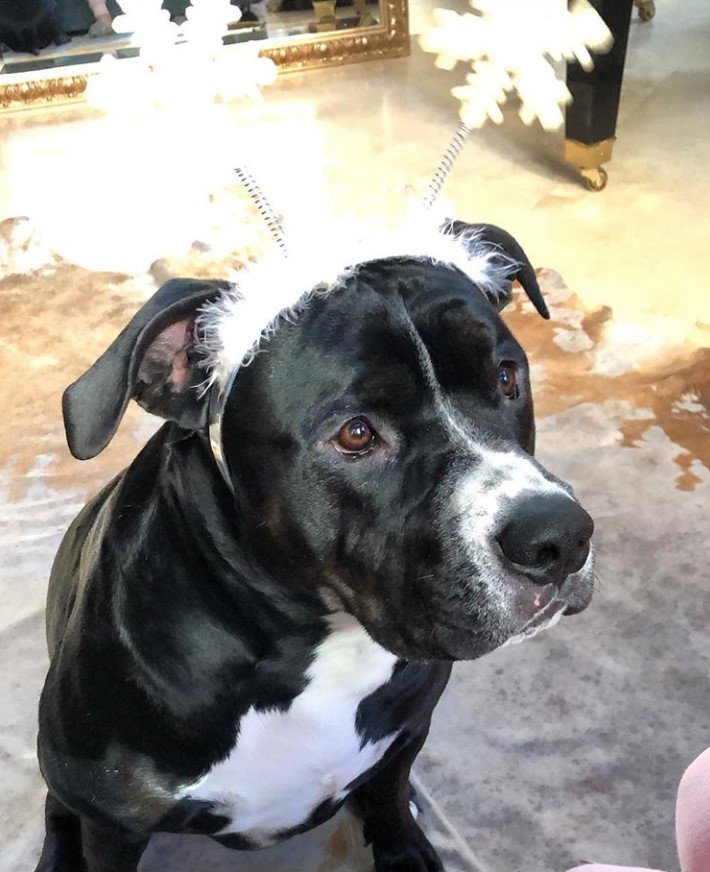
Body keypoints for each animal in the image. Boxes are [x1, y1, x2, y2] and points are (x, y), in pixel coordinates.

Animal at [36, 218, 596, 872]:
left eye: (506, 377)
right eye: (355, 434)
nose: (558, 538)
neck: (316, 641)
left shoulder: (408, 733)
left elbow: (391, 792)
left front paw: (404, 847)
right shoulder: (113, 822)